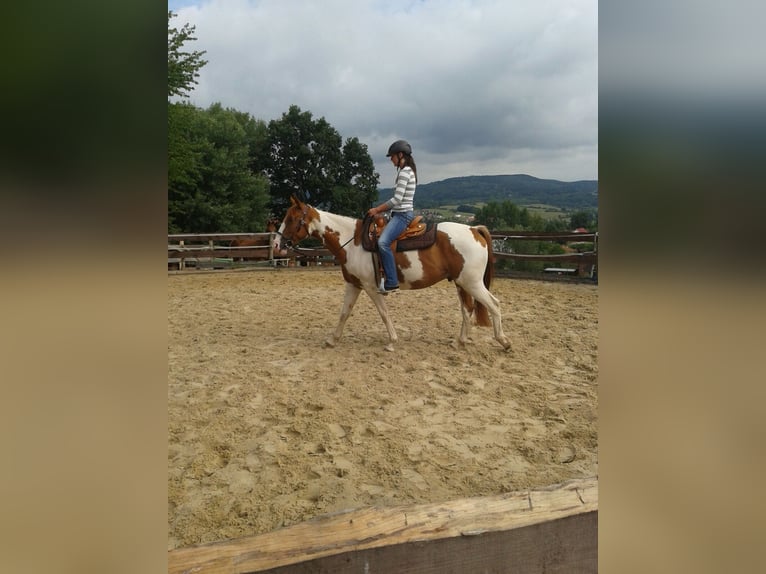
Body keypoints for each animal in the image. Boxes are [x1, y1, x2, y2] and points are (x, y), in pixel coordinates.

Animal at [274, 196, 510, 354]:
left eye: (292, 218)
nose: (276, 244)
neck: (352, 241)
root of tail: (474, 229)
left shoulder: (371, 287)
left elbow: (383, 313)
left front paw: (392, 341)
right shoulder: (354, 285)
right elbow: (344, 313)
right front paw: (332, 340)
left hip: (473, 283)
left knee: (494, 305)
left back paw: (504, 341)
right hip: (462, 284)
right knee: (467, 310)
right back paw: (460, 342)